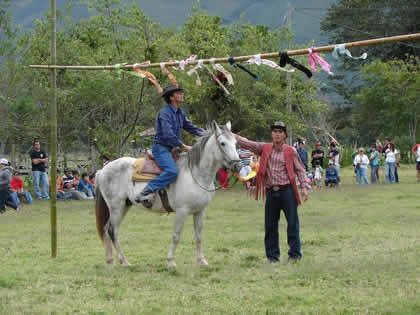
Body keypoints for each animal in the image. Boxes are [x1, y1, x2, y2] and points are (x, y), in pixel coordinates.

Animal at [94, 121, 241, 270]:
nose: (238, 166)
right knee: (112, 231)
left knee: (107, 231)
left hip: (124, 206)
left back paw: (110, 261)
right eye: (222, 143)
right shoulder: (182, 211)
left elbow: (199, 236)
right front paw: (171, 262)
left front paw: (202, 261)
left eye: (235, 142)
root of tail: (103, 170)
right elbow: (176, 236)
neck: (195, 174)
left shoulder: (200, 211)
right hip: (116, 207)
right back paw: (124, 262)